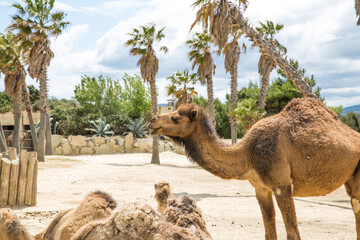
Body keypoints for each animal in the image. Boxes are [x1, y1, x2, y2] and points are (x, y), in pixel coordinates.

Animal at [147, 98, 360, 240]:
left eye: (175, 117)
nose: (151, 121)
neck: (247, 153)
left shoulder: (282, 185)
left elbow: (293, 234)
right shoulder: (261, 188)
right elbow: (269, 233)